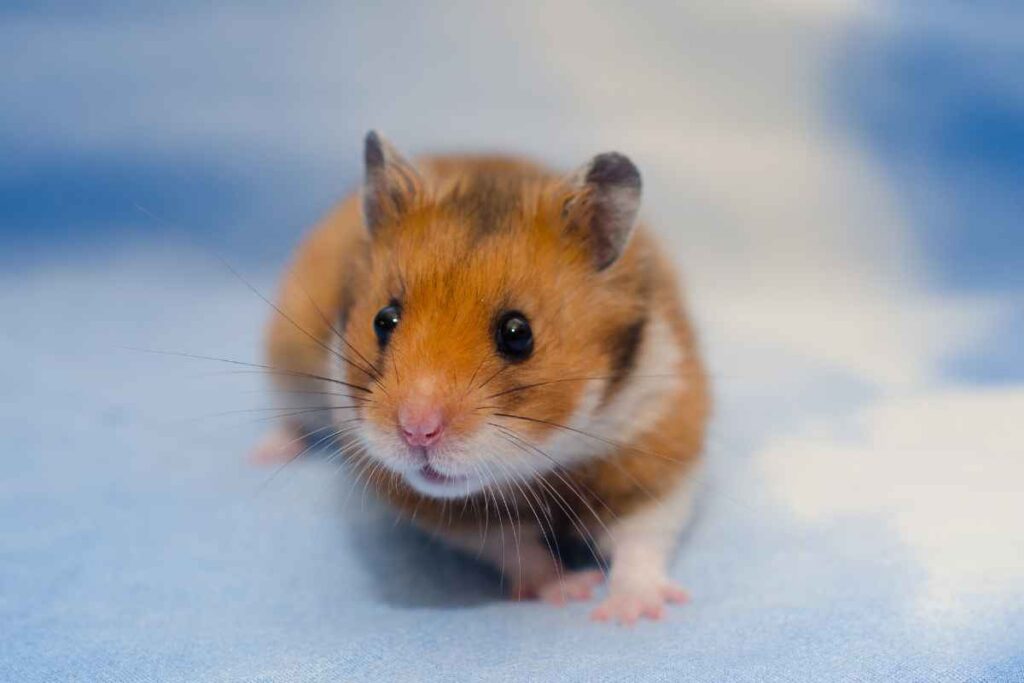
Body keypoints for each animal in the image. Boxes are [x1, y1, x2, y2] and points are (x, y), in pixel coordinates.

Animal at [257, 131, 710, 624]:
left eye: (518, 333)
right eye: (384, 319)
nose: (417, 431)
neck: (546, 459)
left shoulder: (659, 446)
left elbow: (641, 538)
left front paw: (628, 613)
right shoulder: (448, 511)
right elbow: (516, 549)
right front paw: (571, 590)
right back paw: (266, 455)